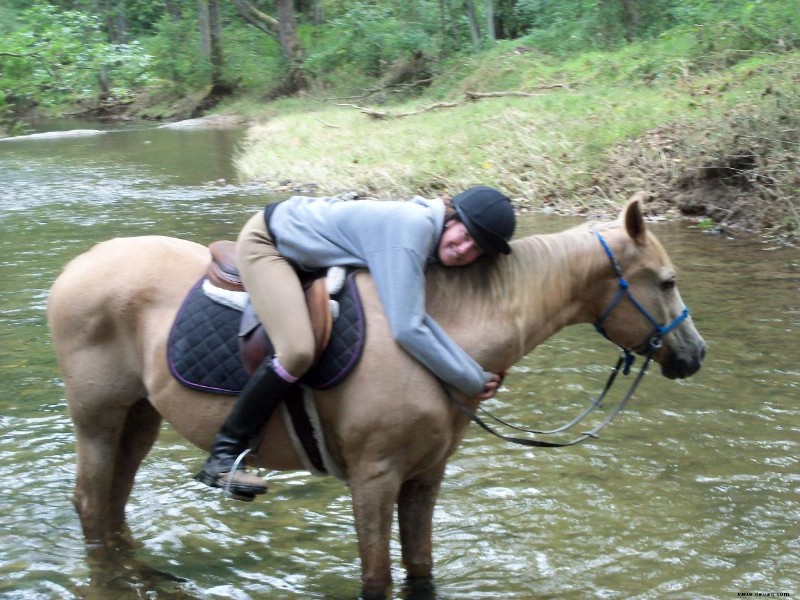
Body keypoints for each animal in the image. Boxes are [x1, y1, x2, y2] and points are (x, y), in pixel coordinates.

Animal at [45, 196, 708, 596]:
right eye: (667, 281)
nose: (695, 354)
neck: (442, 328)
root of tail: (78, 266)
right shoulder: (374, 477)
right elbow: (377, 576)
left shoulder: (424, 476)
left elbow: (419, 568)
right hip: (97, 420)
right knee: (90, 505)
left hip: (139, 418)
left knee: (114, 503)